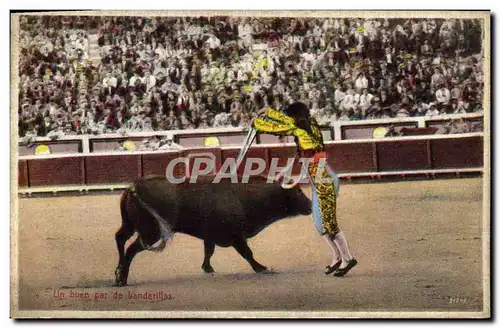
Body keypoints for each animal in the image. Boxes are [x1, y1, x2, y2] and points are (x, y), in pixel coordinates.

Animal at [114, 176, 312, 286]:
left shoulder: (210, 236)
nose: (311, 206)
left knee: (120, 238)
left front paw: (207, 268)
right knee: (131, 249)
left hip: (131, 226)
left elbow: (209, 251)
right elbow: (247, 253)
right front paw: (261, 268)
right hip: (150, 232)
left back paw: (118, 274)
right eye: (298, 191)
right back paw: (122, 279)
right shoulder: (236, 237)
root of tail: (134, 187)